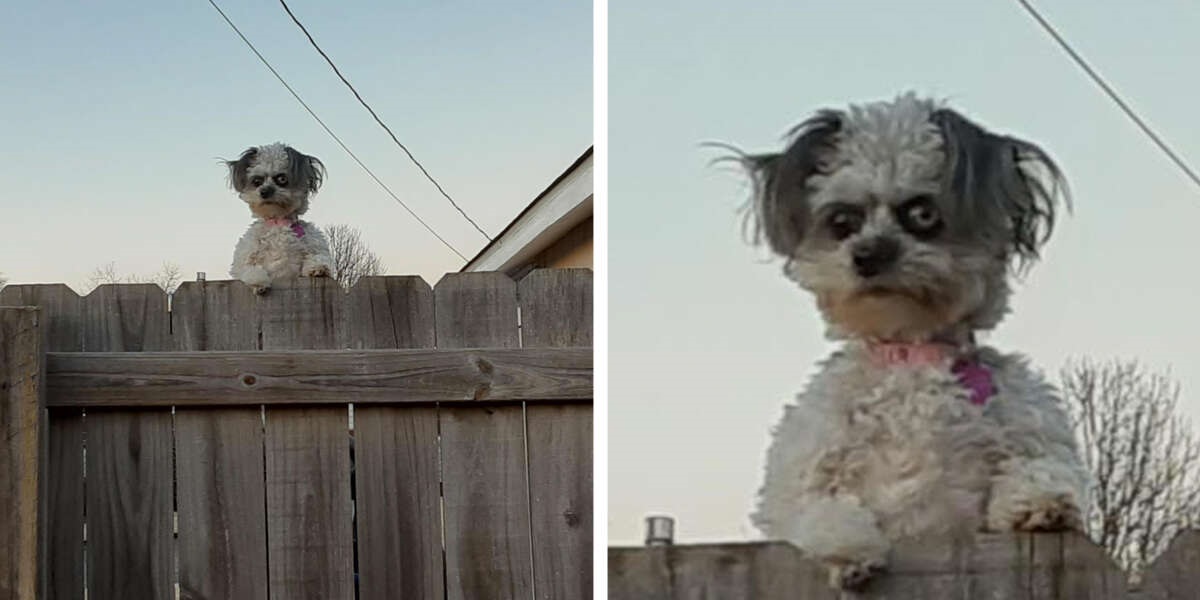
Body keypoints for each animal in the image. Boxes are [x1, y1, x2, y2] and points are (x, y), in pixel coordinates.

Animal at [225, 142, 333, 292]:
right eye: (257, 181)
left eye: (282, 178)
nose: (265, 191)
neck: (278, 221)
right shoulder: (243, 258)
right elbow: (249, 268)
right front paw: (258, 281)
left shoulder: (314, 244)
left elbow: (319, 256)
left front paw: (318, 268)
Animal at [734, 94, 1094, 590]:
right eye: (842, 221)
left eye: (922, 213)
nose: (868, 255)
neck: (911, 355)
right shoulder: (799, 477)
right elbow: (818, 509)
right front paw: (849, 549)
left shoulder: (1033, 430)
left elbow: (1043, 467)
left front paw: (1041, 502)